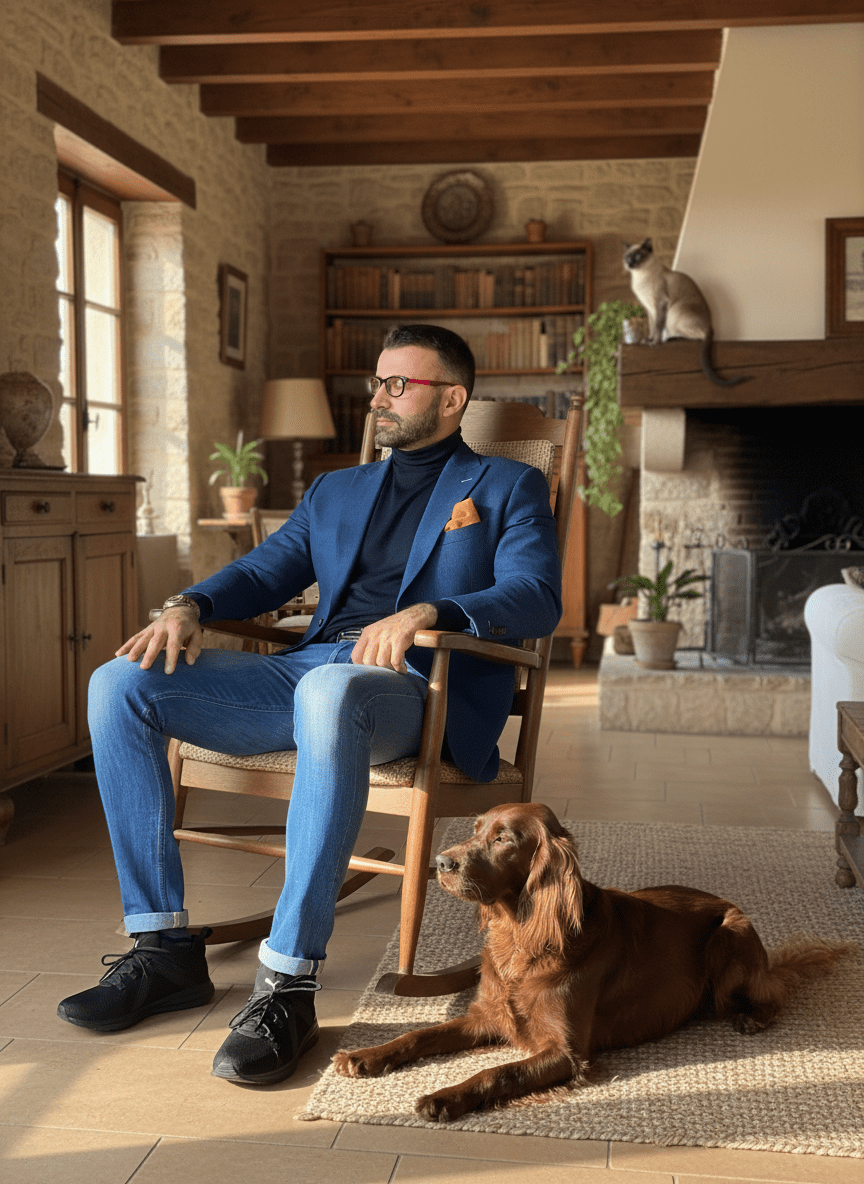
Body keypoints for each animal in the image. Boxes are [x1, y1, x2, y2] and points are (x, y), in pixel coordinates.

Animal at [333, 802, 851, 1122]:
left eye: (504, 839)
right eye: (476, 829)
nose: (441, 863)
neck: (521, 936)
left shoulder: (566, 1052)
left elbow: (497, 1072)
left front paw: (443, 1097)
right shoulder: (488, 1017)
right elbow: (419, 1034)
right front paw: (364, 1056)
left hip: (730, 934)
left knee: (772, 991)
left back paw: (752, 1018)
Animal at [623, 238, 748, 388]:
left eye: (637, 256)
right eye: (628, 257)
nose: (630, 264)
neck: (639, 277)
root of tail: (711, 326)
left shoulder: (659, 304)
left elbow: (658, 327)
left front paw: (655, 343)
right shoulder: (650, 309)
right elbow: (652, 328)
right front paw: (648, 340)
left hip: (674, 313)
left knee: (697, 337)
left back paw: (671, 339)